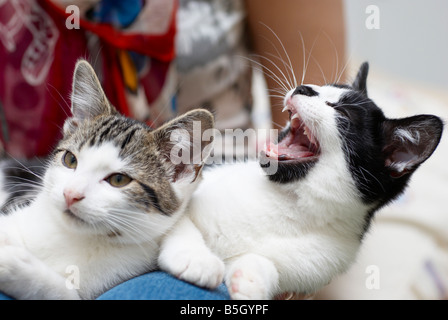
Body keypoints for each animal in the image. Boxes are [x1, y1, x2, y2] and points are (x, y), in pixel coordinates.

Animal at [0, 60, 214, 300]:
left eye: (119, 179)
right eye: (70, 160)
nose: (70, 194)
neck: (76, 237)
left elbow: (63, 293)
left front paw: (12, 263)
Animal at [158, 62, 444, 300]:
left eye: (343, 114)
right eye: (322, 88)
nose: (304, 88)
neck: (286, 201)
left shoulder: (316, 264)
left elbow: (272, 266)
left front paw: (252, 277)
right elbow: (179, 221)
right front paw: (195, 259)